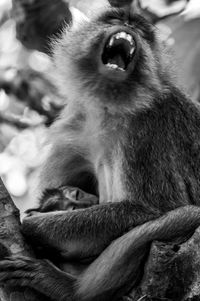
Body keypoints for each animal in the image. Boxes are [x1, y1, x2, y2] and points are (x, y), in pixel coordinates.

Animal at [1, 6, 200, 300]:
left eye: (140, 30)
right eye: (116, 20)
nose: (128, 26)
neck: (109, 106)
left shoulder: (150, 126)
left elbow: (155, 209)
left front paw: (35, 226)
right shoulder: (72, 133)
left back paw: (71, 290)